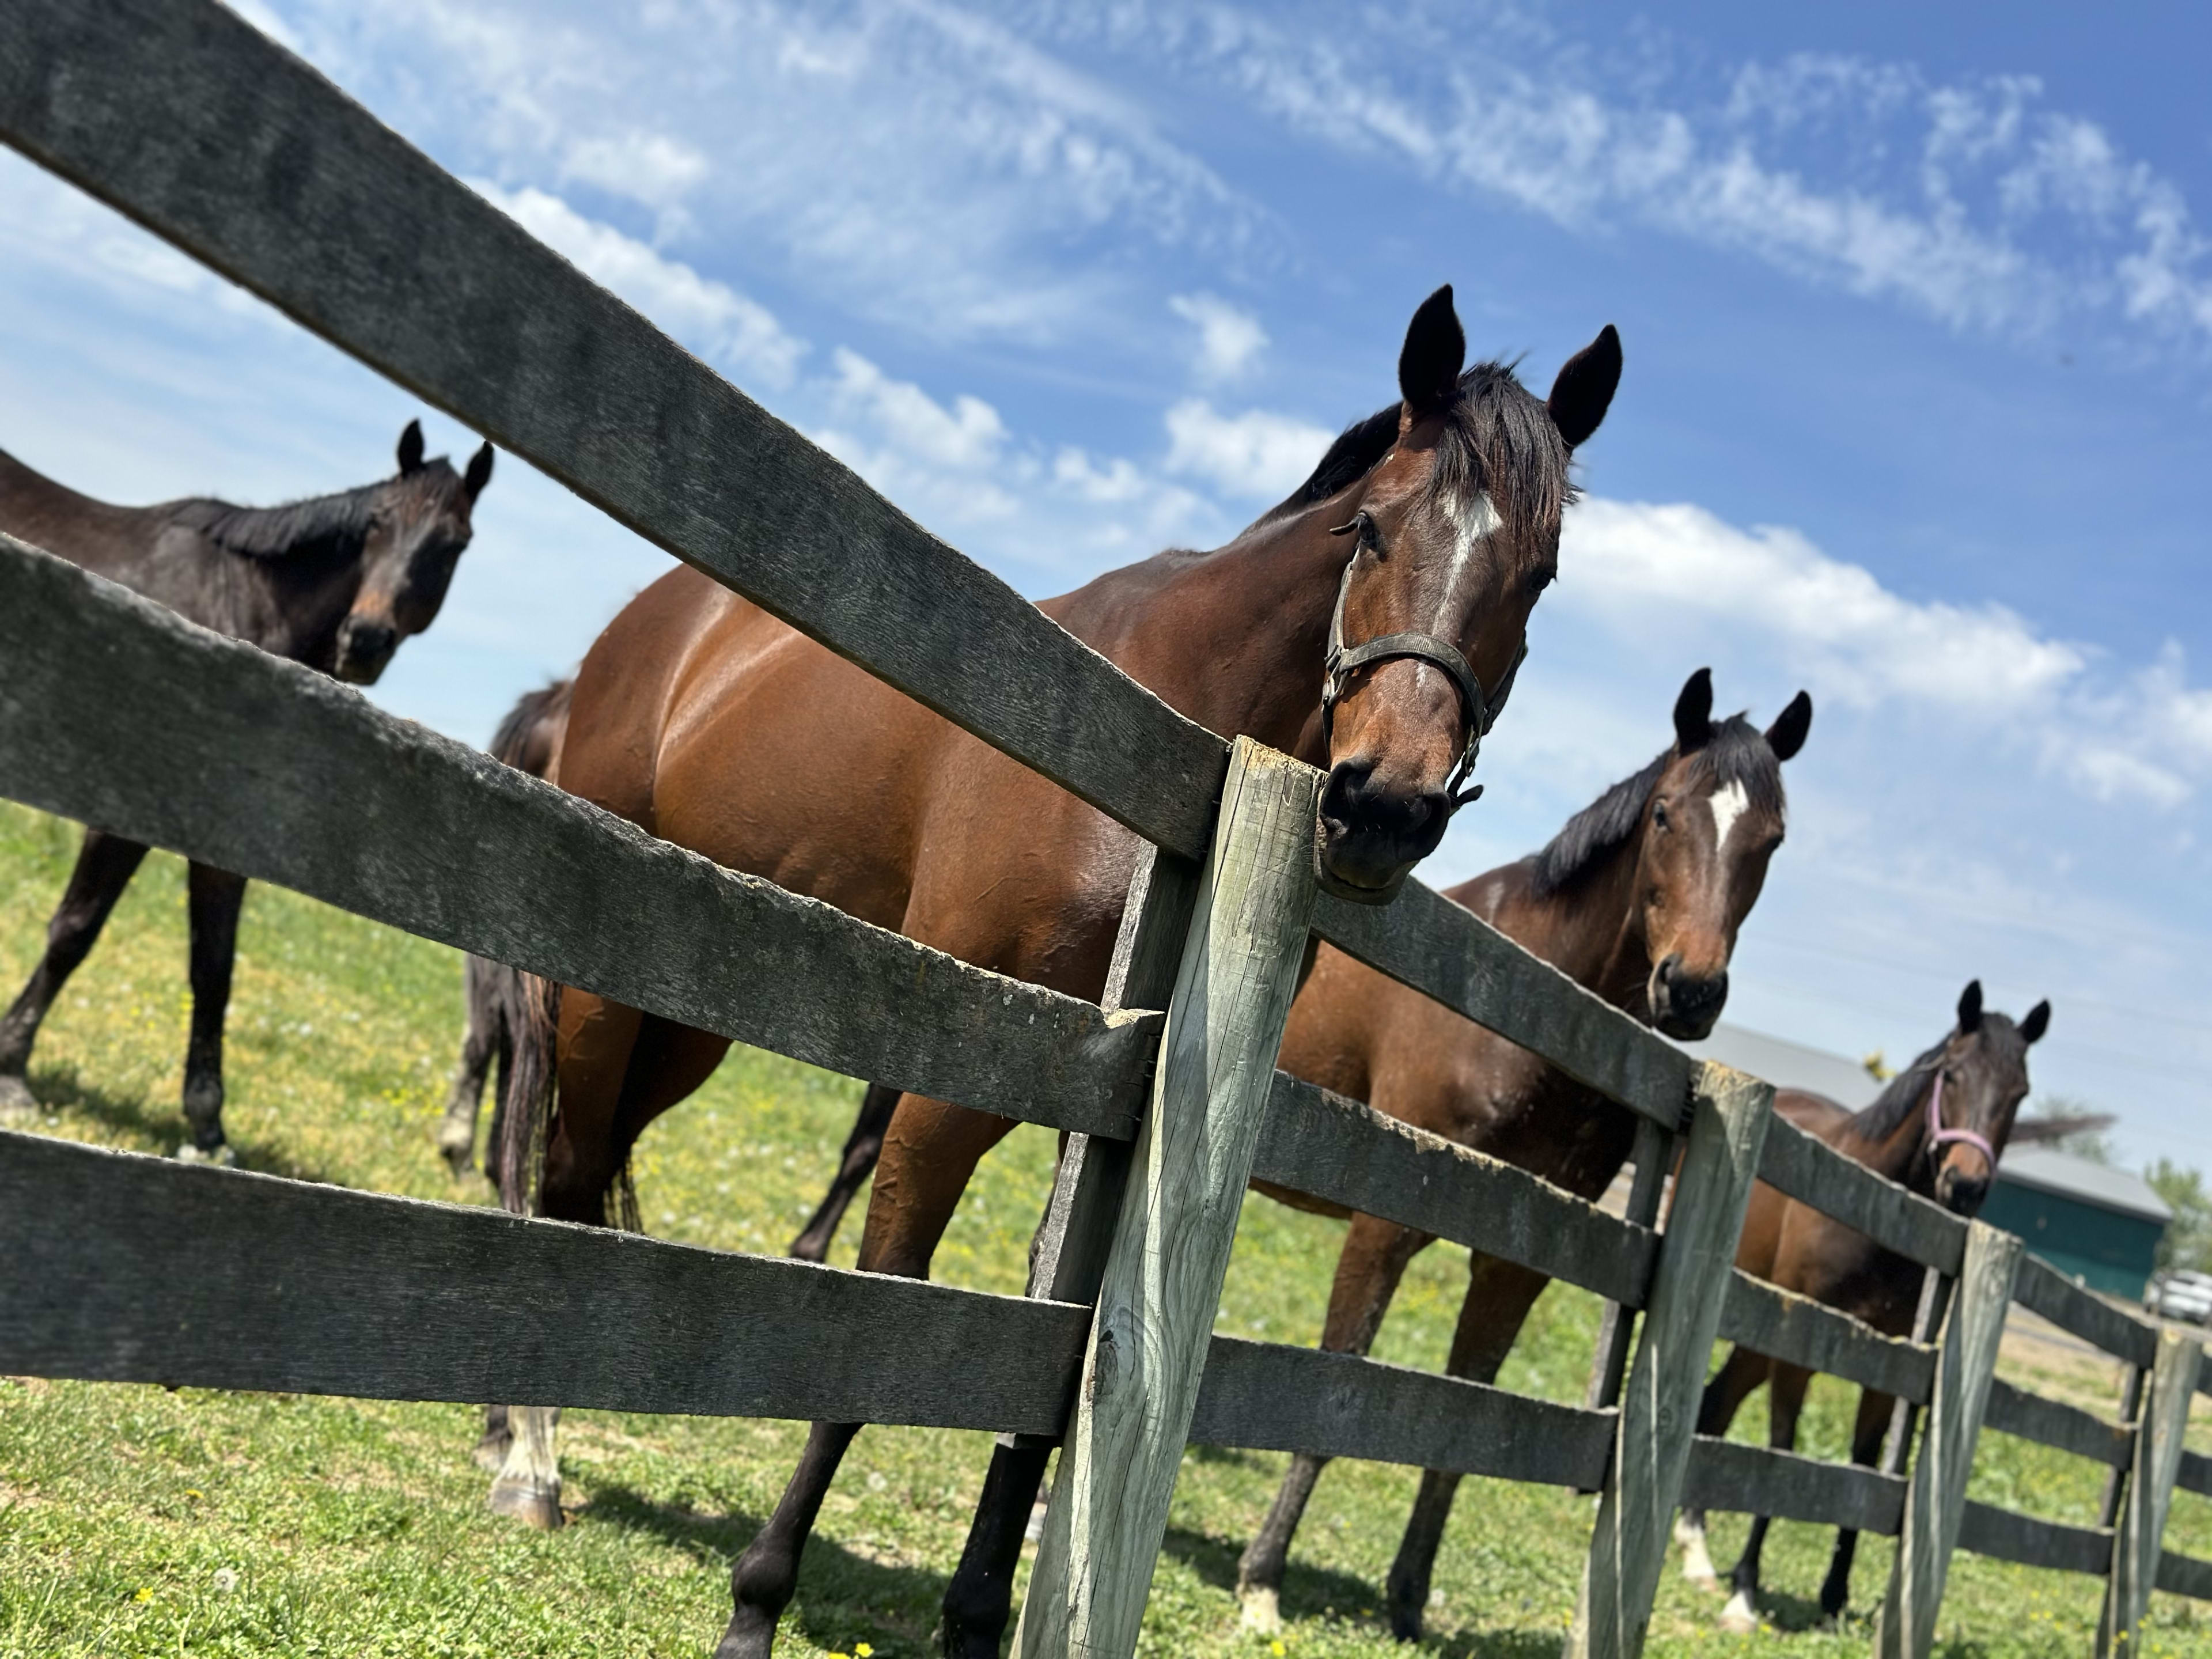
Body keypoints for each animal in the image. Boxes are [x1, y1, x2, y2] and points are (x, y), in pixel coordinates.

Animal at [0, 421, 494, 1160]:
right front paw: (13, 1070)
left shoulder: (229, 846)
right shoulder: (120, 818)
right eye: (377, 523)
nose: (364, 640)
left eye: (455, 543)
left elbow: (214, 969)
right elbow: (74, 931)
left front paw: (207, 1126)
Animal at [488, 286, 1623, 1659]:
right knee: (561, 1170)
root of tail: (647, 630)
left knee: (598, 1158)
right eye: (1369, 529)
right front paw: (760, 1600)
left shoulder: (1107, 1120)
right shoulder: (955, 1087)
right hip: (601, 984)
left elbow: (1059, 1356)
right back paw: (527, 1463)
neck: (1167, 764)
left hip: (691, 1013)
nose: (1385, 807)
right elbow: (889, 1306)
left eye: (1537, 578)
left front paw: (978, 1615)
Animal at [1674, 980, 2048, 1633]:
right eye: (1952, 1074)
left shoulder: (1887, 1372)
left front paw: (1833, 1599)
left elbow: (1861, 1468)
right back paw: (1698, 1553)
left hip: (1756, 1338)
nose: (1966, 1186)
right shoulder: (1797, 1353)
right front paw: (1745, 1590)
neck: (1872, 1216)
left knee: (1719, 1402)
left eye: (2019, 1093)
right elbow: (1781, 1454)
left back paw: (1696, 1545)